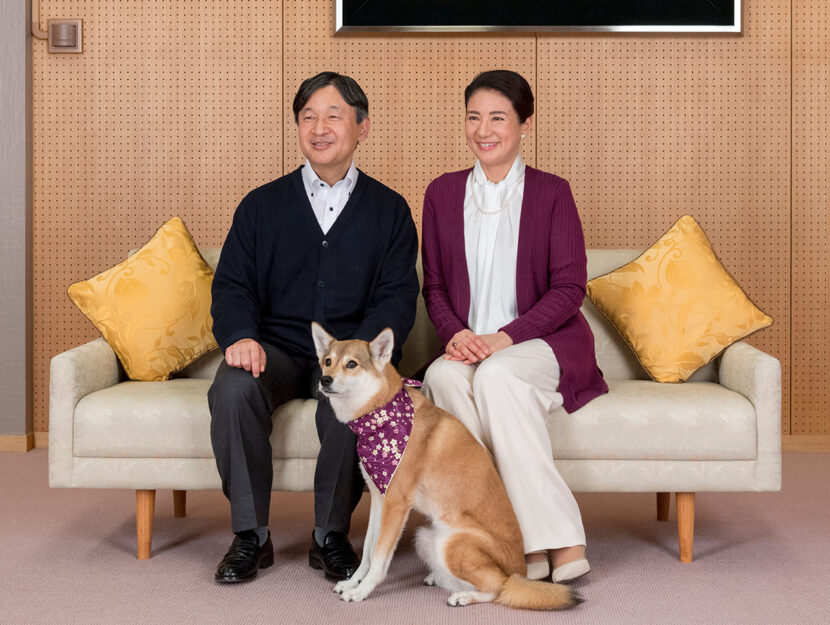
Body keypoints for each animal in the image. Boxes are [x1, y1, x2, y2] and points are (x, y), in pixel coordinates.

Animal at [310, 324, 580, 608]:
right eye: (327, 361)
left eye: (351, 364)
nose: (325, 380)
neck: (381, 417)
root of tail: (518, 572)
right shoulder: (379, 500)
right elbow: (368, 554)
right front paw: (352, 582)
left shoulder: (396, 504)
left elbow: (380, 560)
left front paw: (362, 591)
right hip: (426, 537)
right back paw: (438, 578)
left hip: (452, 544)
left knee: (498, 588)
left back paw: (464, 596)